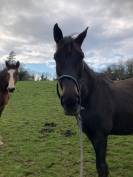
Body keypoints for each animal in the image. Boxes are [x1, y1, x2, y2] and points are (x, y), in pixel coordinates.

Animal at [53, 24, 133, 177]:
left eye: (81, 56)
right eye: (56, 57)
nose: (70, 101)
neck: (92, 95)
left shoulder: (101, 136)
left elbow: (102, 168)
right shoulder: (91, 135)